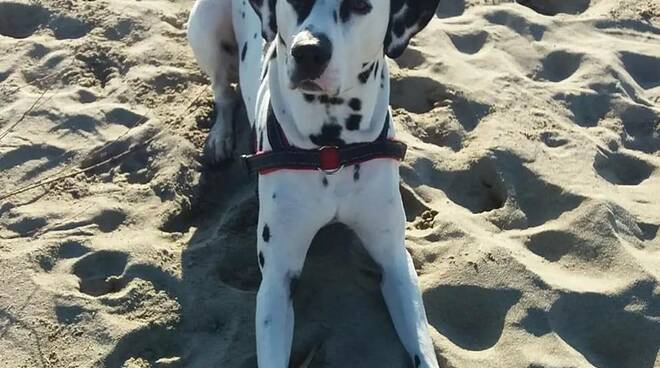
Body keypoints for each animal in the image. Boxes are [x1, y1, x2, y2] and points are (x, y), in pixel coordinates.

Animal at [188, 0, 440, 366]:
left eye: (360, 5)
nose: (307, 51)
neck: (331, 152)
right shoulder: (277, 280)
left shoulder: (395, 262)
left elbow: (423, 348)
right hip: (204, 29)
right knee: (222, 91)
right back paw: (220, 138)